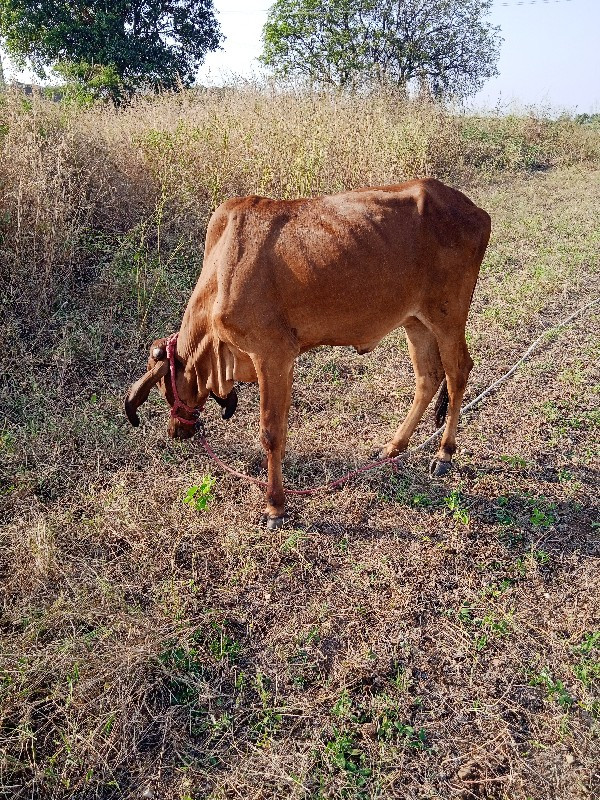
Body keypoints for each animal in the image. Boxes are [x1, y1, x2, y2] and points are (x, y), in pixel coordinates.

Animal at [124, 178, 490, 528]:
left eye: (165, 389)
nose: (177, 431)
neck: (222, 272)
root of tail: (476, 211)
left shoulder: (272, 355)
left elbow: (271, 433)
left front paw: (275, 507)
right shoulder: (279, 361)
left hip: (448, 315)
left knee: (459, 372)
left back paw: (444, 454)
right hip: (415, 321)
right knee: (429, 377)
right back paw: (393, 447)